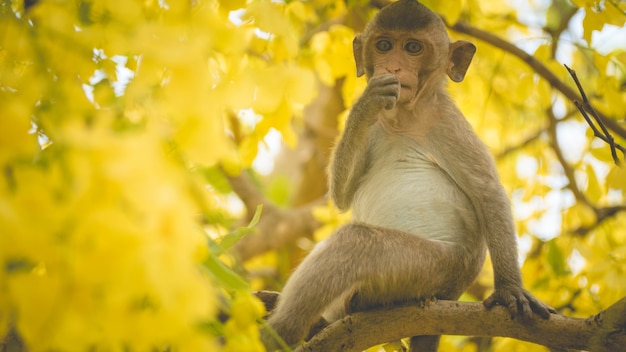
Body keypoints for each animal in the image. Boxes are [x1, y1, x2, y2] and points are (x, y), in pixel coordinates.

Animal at [260, 1, 552, 350]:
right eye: (384, 45)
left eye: (413, 48)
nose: (395, 68)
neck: (403, 116)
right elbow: (342, 195)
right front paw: (366, 103)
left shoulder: (446, 122)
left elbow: (487, 192)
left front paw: (509, 289)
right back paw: (313, 322)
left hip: (430, 269)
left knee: (357, 243)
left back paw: (279, 333)